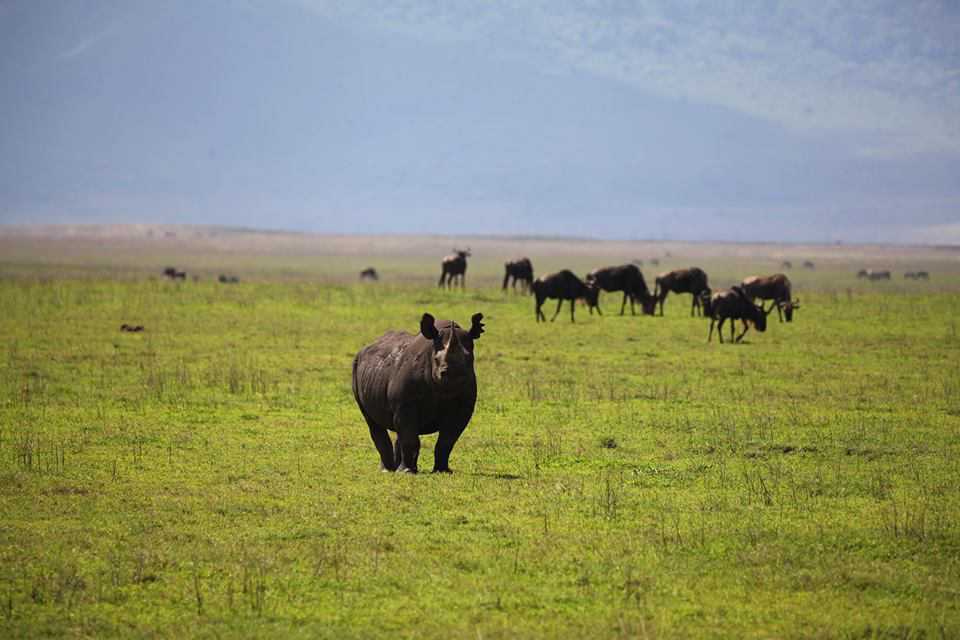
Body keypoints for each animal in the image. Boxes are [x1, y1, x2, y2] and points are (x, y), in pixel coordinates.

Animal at [350, 312, 484, 472]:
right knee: (374, 422)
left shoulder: (463, 408)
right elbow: (409, 437)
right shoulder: (405, 404)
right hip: (356, 367)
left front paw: (442, 471)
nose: (454, 374)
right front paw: (407, 472)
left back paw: (397, 468)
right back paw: (388, 470)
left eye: (469, 358)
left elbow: (447, 441)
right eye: (436, 359)